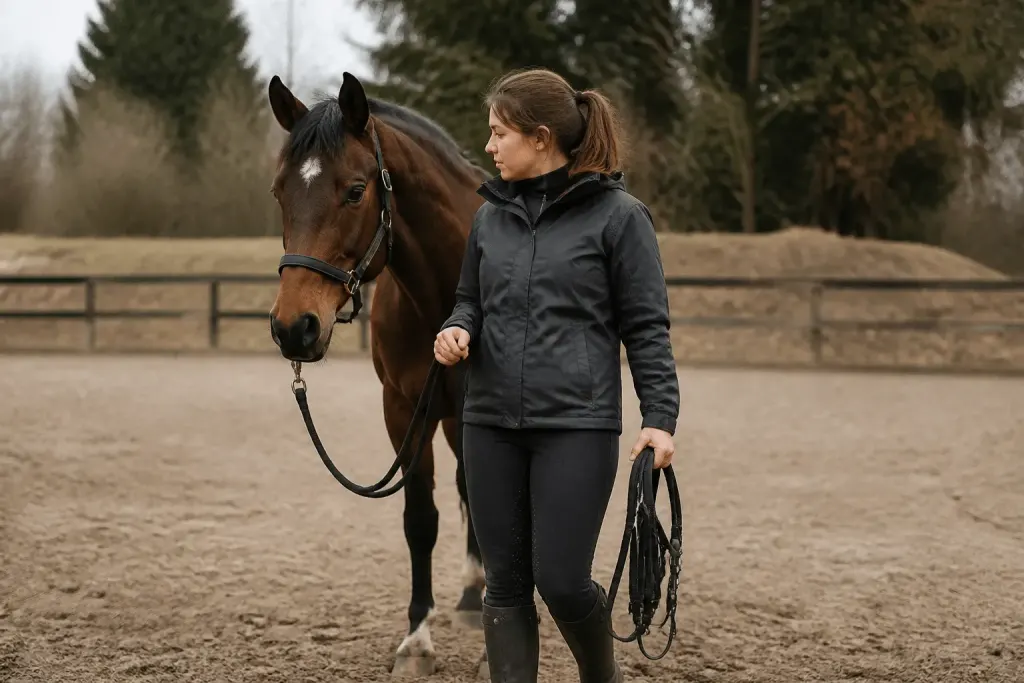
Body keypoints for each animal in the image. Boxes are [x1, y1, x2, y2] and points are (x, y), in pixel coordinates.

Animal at [266, 72, 491, 678]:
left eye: (354, 191)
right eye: (279, 192)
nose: (294, 327)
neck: (444, 294)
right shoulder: (403, 411)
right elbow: (420, 520)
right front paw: (416, 641)